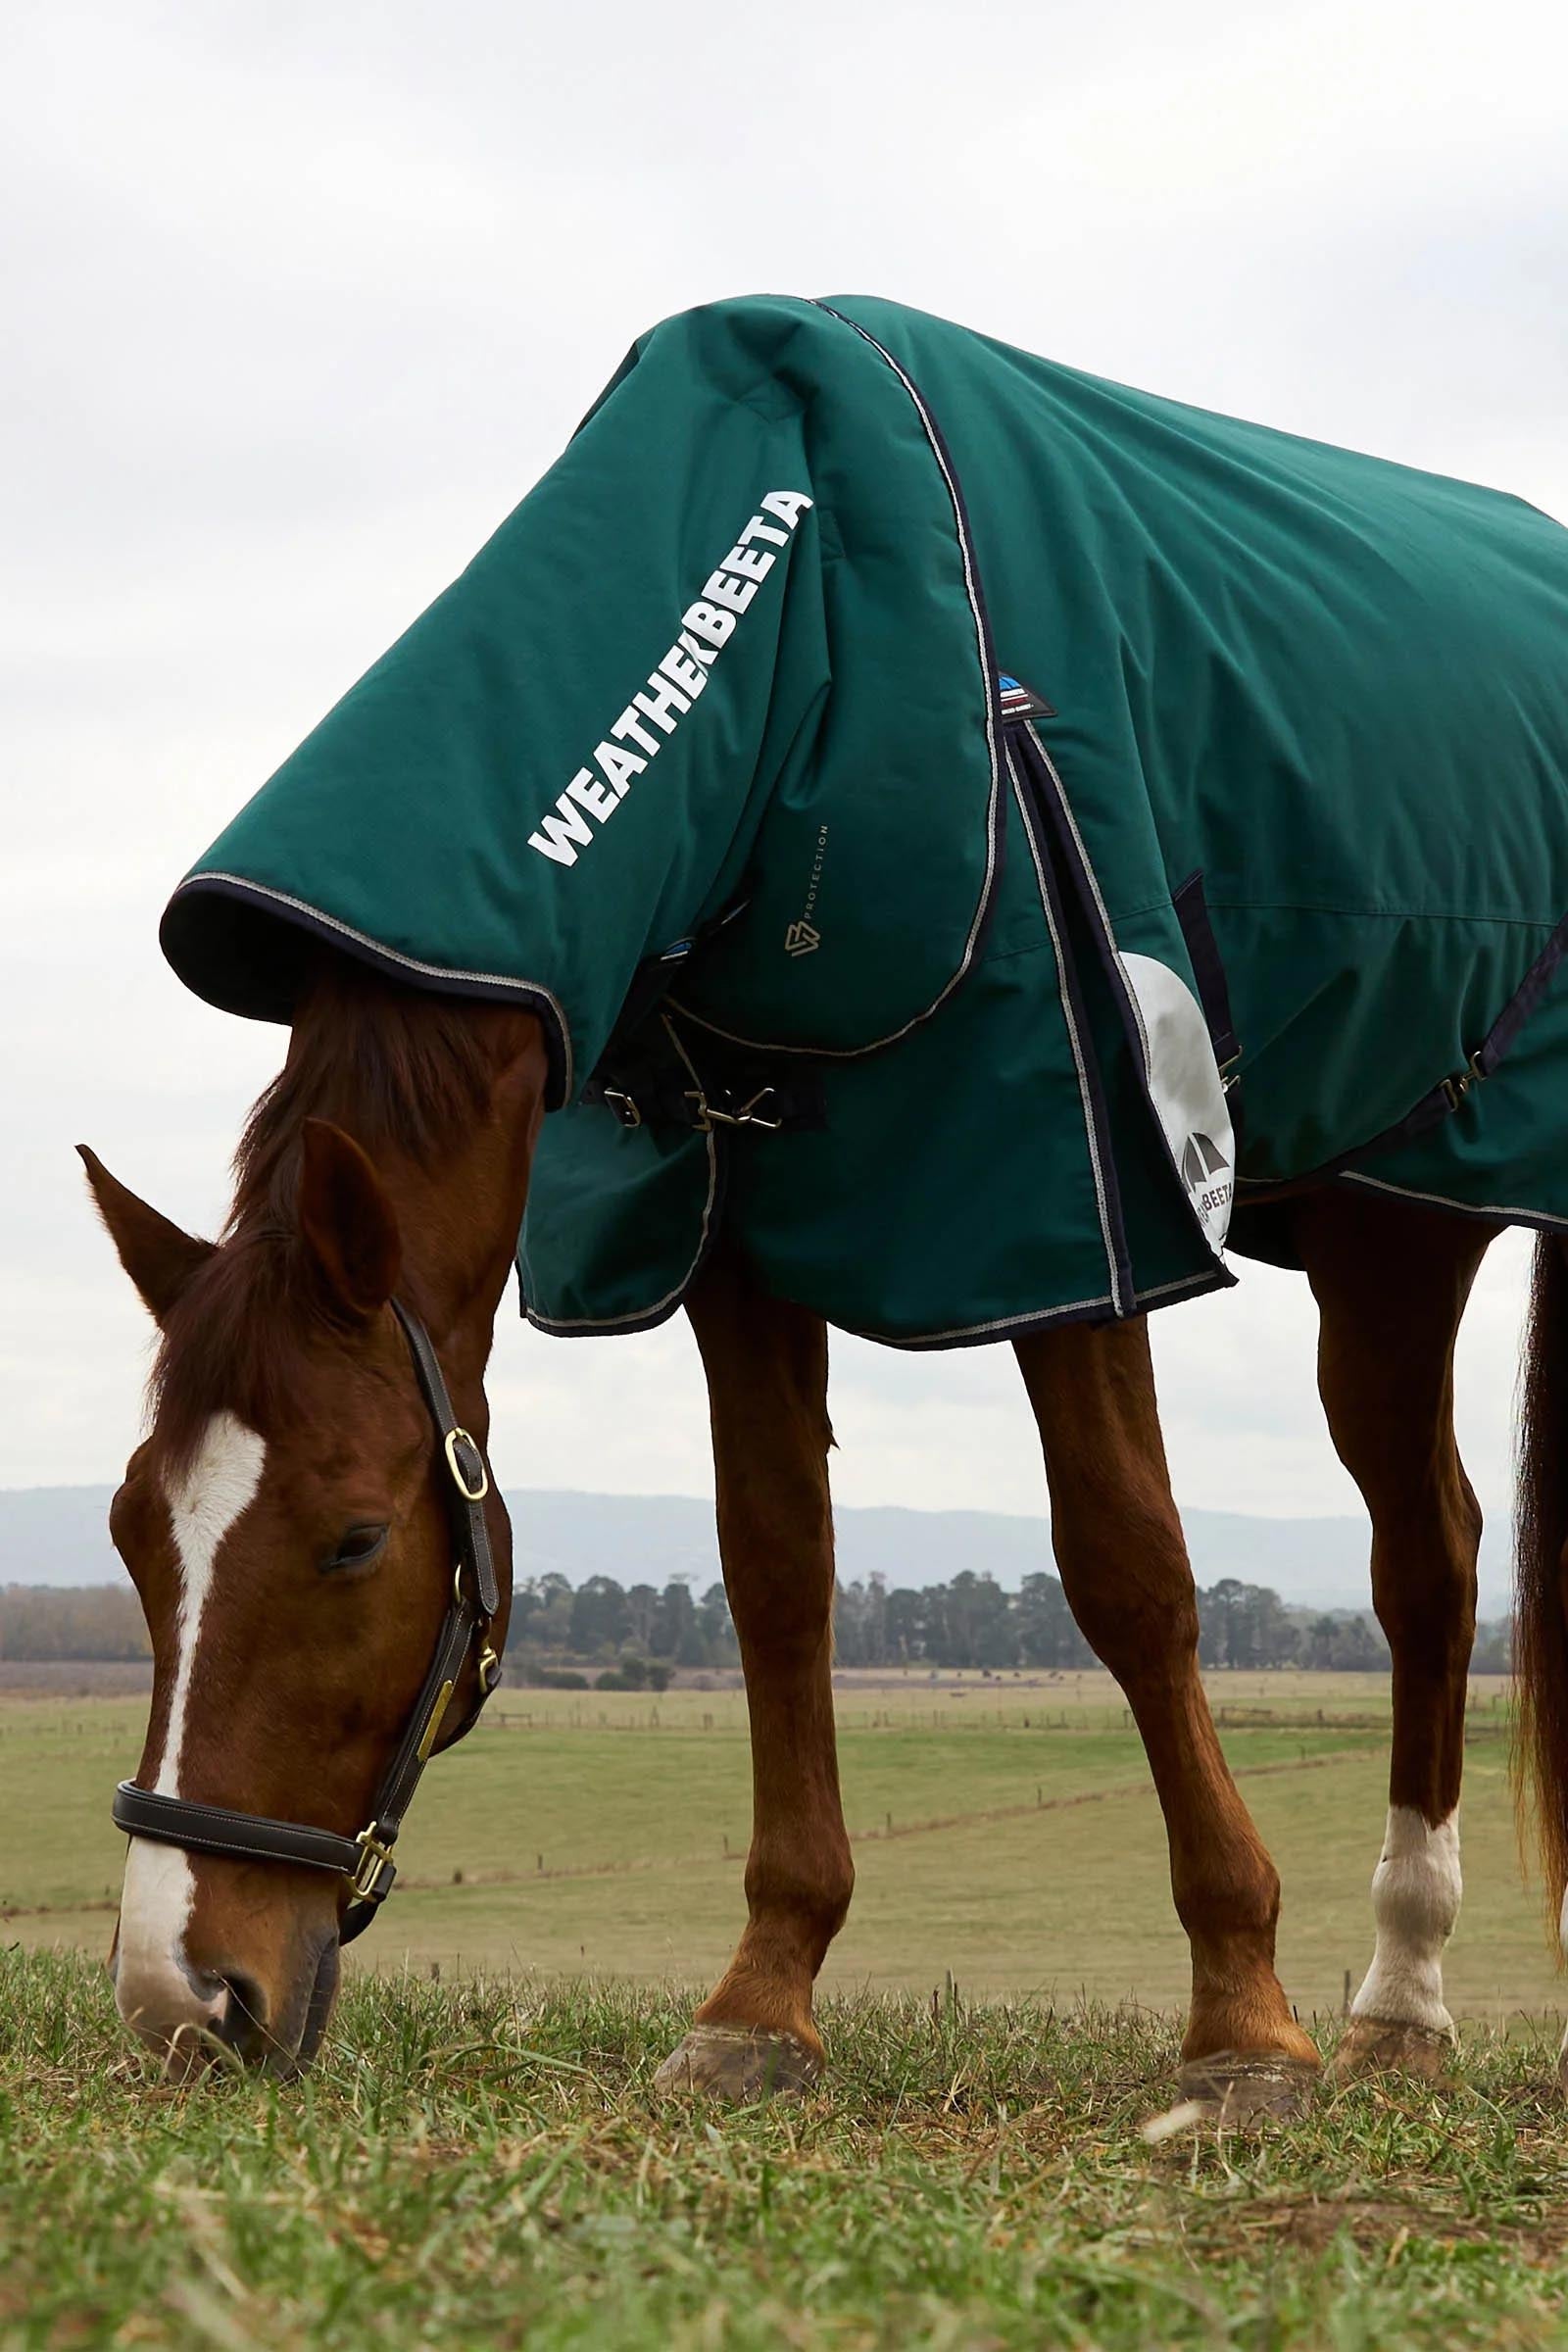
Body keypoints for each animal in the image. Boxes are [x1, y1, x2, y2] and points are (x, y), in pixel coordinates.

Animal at [80, 951, 1568, 2103]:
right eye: (130, 1534)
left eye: (354, 1541)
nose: (178, 1996)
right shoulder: (732, 1236)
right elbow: (777, 1569)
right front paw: (760, 1999)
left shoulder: (1070, 1214)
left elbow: (1128, 1568)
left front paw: (1242, 2016)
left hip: (1394, 1241)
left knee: (1425, 1564)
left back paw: (1402, 1990)